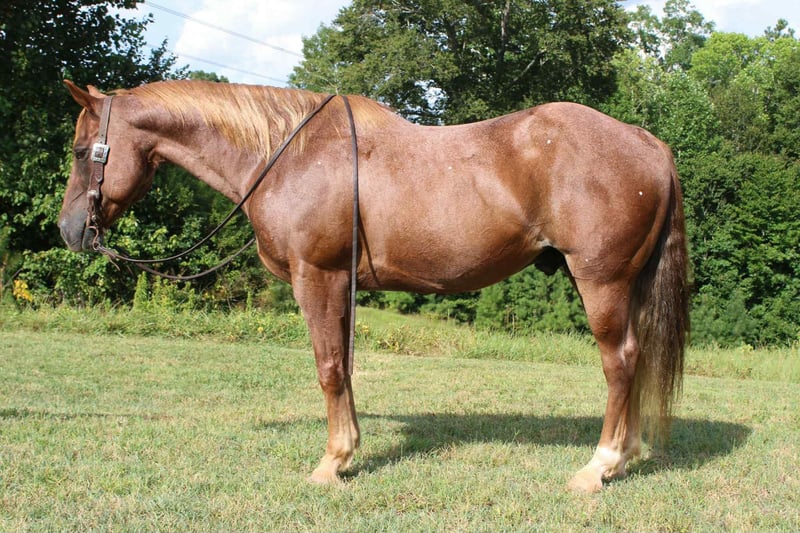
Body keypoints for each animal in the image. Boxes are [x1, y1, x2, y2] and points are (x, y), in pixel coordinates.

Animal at [59, 79, 689, 493]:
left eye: (81, 150)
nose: (69, 230)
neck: (290, 157)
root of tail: (647, 142)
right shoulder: (340, 284)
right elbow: (344, 366)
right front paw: (348, 451)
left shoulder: (317, 277)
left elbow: (328, 366)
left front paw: (331, 461)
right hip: (625, 285)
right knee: (634, 361)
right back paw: (626, 458)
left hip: (601, 280)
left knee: (619, 362)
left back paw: (598, 465)